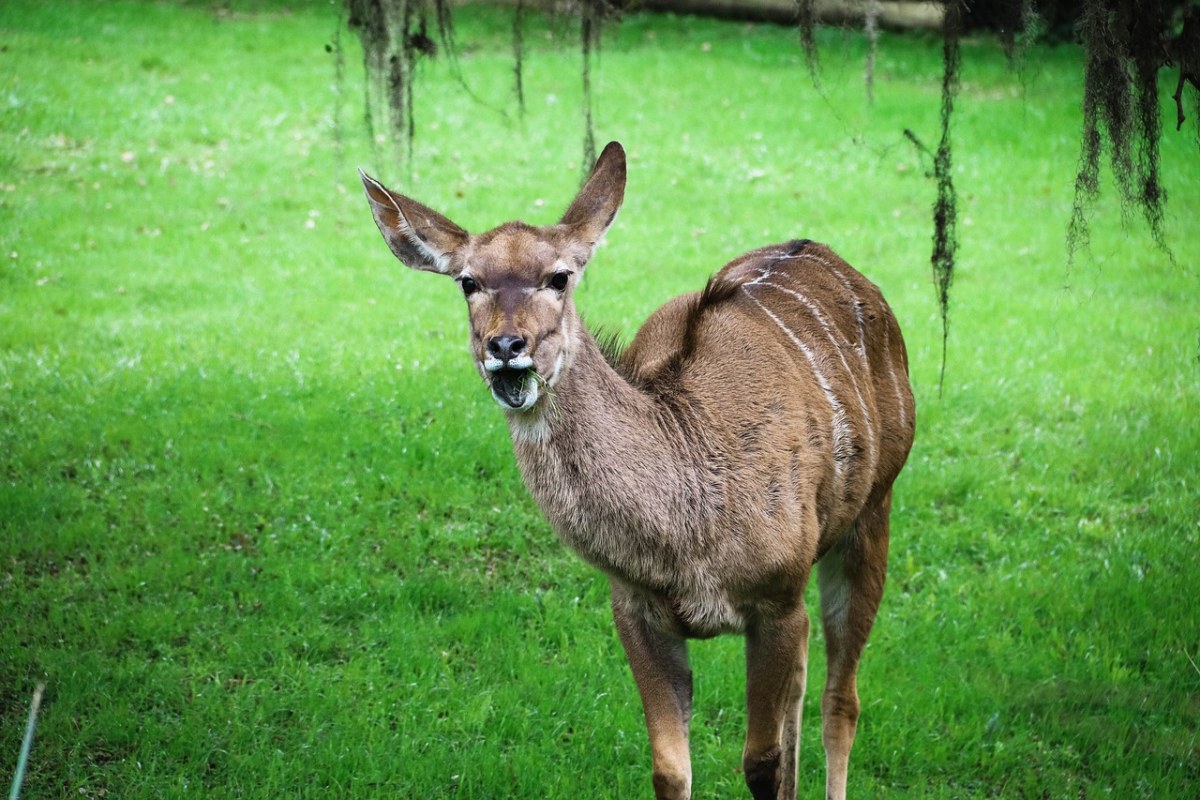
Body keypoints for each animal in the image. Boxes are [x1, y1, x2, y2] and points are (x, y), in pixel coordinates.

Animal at [360, 143, 912, 800]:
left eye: (560, 276)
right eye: (468, 281)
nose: (507, 347)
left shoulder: (775, 596)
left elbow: (762, 760)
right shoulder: (637, 610)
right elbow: (672, 769)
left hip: (873, 511)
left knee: (840, 699)